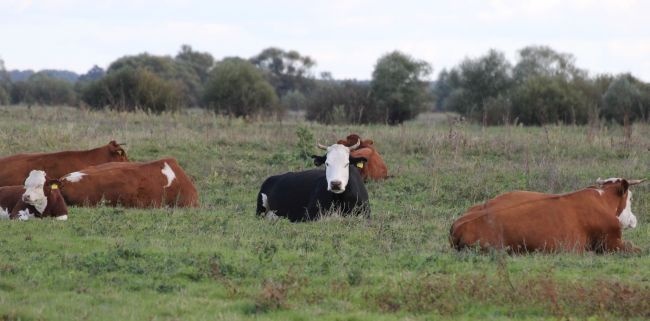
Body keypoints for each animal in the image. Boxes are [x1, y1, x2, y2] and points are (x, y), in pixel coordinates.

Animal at [450, 178, 644, 252]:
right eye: (631, 198)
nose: (635, 219)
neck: (602, 200)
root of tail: (459, 225)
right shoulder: (610, 242)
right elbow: (637, 248)